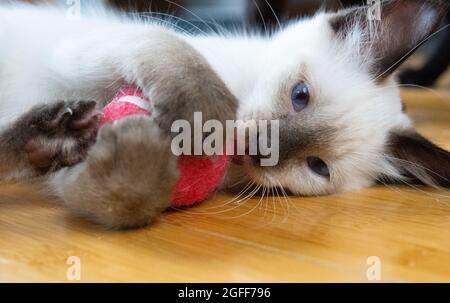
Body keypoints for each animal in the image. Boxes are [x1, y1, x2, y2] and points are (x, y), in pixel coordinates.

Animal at [0, 0, 448, 228]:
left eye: (317, 167)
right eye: (300, 95)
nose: (259, 150)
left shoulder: (77, 174)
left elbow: (126, 198)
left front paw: (133, 150)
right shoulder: (88, 50)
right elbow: (177, 52)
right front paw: (203, 121)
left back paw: (47, 138)